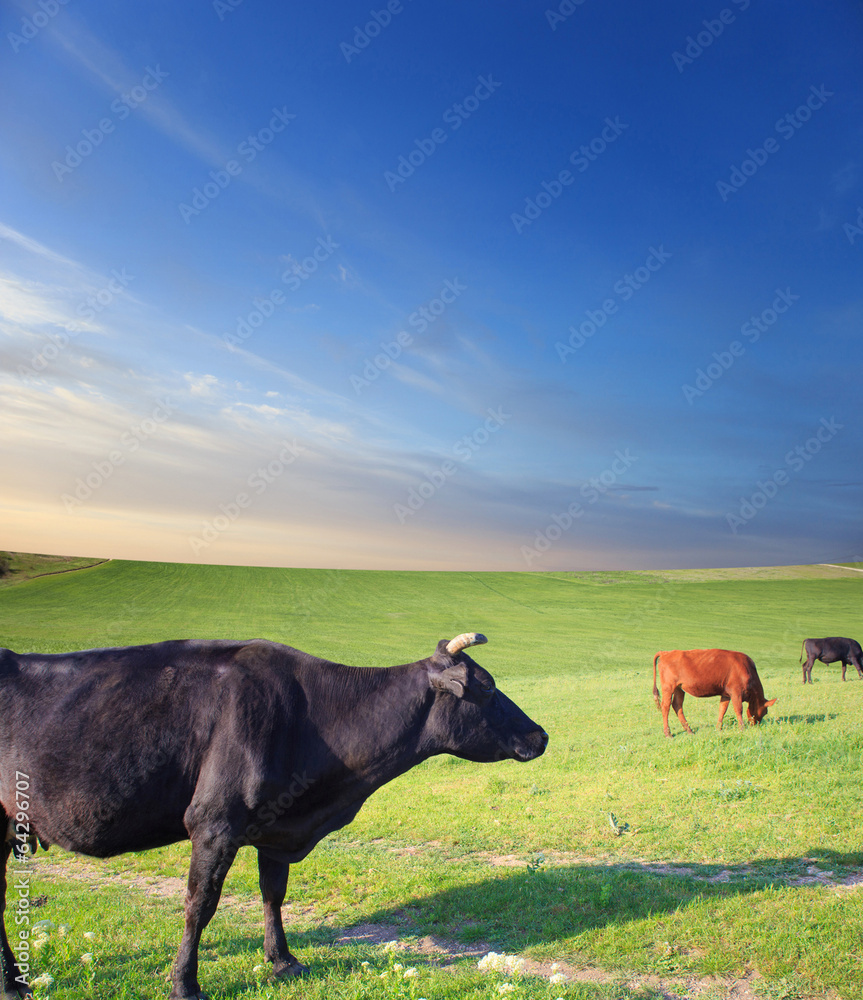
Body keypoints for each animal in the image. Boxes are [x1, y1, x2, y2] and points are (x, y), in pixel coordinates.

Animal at [0, 632, 548, 1000]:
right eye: (487, 688)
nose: (540, 734)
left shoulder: (276, 826)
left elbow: (273, 893)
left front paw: (282, 960)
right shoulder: (214, 823)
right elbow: (200, 905)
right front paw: (184, 984)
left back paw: (15, 982)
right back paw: (13, 984)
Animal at [652, 648, 780, 736]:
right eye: (765, 712)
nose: (756, 725)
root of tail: (666, 652)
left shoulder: (726, 694)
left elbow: (722, 710)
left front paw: (718, 728)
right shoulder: (736, 692)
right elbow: (738, 709)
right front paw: (742, 728)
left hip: (679, 688)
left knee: (677, 706)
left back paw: (689, 730)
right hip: (668, 687)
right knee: (666, 706)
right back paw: (668, 733)